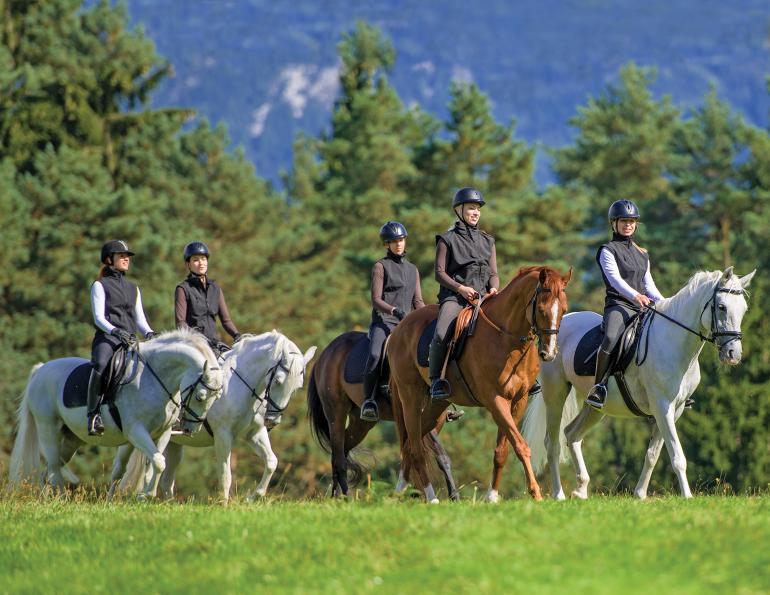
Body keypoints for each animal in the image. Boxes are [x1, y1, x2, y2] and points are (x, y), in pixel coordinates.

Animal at [9, 329, 224, 498]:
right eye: (200, 397)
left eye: (217, 397)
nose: (190, 429)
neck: (153, 378)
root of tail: (40, 370)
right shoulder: (135, 431)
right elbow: (158, 462)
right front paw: (147, 494)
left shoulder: (163, 433)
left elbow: (153, 463)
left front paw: (144, 495)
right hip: (48, 428)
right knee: (54, 469)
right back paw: (60, 500)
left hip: (71, 439)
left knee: (50, 471)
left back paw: (45, 500)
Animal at [111, 331, 316, 502]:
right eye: (278, 381)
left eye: (298, 386)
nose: (272, 421)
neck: (240, 384)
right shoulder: (223, 436)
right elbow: (226, 475)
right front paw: (224, 505)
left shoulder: (255, 433)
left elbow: (272, 462)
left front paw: (253, 497)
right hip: (133, 436)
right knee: (122, 468)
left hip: (172, 444)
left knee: (165, 479)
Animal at [307, 331, 459, 498]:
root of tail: (323, 356)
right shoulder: (415, 415)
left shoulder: (435, 419)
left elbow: (438, 456)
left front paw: (450, 496)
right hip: (336, 414)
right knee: (339, 458)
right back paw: (346, 497)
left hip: (361, 424)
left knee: (341, 452)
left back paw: (337, 496)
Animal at [390, 265, 572, 503]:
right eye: (541, 309)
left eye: (564, 310)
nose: (548, 353)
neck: (505, 338)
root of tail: (398, 331)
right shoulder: (495, 400)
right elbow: (521, 445)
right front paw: (536, 493)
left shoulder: (518, 401)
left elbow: (503, 450)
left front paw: (492, 497)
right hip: (410, 398)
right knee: (416, 448)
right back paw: (431, 497)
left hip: (436, 407)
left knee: (411, 445)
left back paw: (399, 490)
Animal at [511, 267, 755, 500]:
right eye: (721, 307)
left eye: (744, 309)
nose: (733, 354)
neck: (673, 341)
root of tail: (559, 326)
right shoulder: (662, 407)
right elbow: (677, 456)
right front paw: (687, 497)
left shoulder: (674, 410)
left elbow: (653, 454)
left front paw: (640, 494)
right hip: (555, 394)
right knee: (552, 444)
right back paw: (558, 495)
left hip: (597, 408)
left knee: (571, 434)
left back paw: (581, 490)